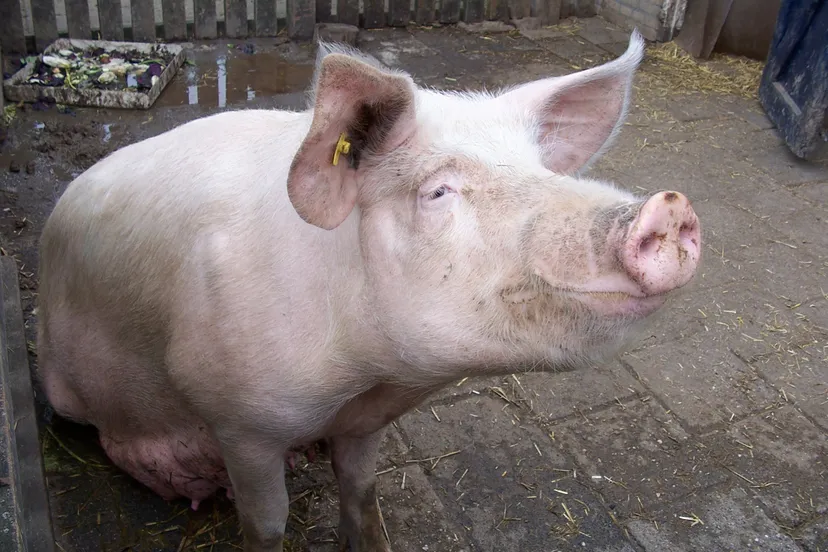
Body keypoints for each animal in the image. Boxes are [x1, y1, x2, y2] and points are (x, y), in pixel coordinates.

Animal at [35, 31, 701, 552]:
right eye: (437, 191)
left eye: (540, 168)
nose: (669, 207)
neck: (362, 376)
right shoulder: (240, 420)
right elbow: (267, 524)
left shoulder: (365, 421)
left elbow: (363, 490)